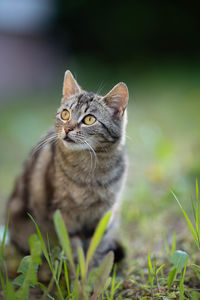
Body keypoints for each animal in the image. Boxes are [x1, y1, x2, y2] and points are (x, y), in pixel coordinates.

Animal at [7, 71, 128, 268]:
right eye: (65, 114)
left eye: (89, 119)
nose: (67, 128)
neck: (90, 170)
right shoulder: (64, 214)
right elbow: (74, 249)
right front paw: (78, 273)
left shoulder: (104, 214)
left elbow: (97, 247)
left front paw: (92, 271)